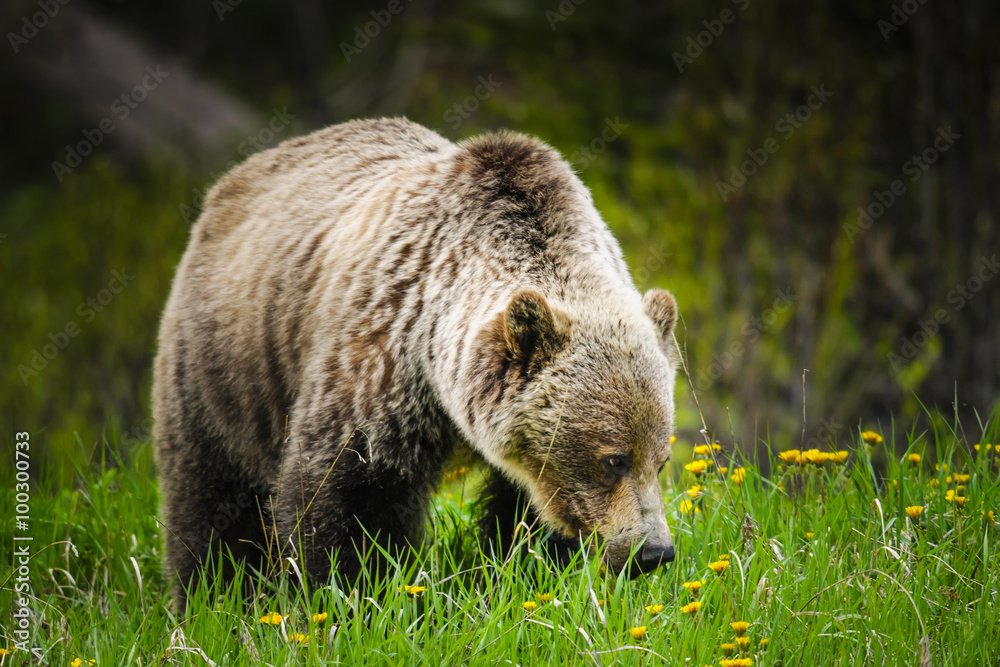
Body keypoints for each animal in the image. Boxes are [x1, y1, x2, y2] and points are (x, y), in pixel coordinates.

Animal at [153, 117, 679, 612]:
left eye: (662, 459)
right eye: (613, 459)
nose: (655, 552)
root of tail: (233, 180)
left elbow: (524, 522)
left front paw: (525, 575)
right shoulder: (381, 360)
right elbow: (352, 497)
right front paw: (348, 596)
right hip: (228, 363)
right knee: (211, 494)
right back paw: (210, 596)